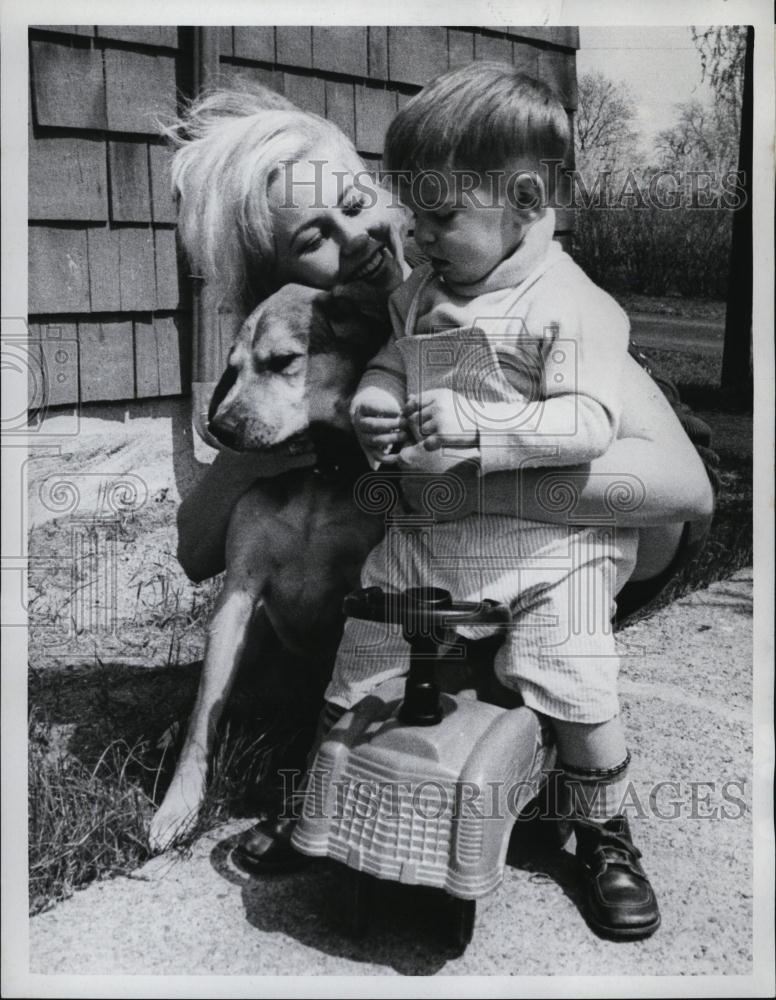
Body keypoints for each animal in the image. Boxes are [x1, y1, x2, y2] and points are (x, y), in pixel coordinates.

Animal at [147, 280, 394, 852]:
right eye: (231, 369)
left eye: (283, 361)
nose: (219, 426)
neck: (317, 473)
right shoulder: (239, 592)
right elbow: (204, 715)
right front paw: (178, 806)